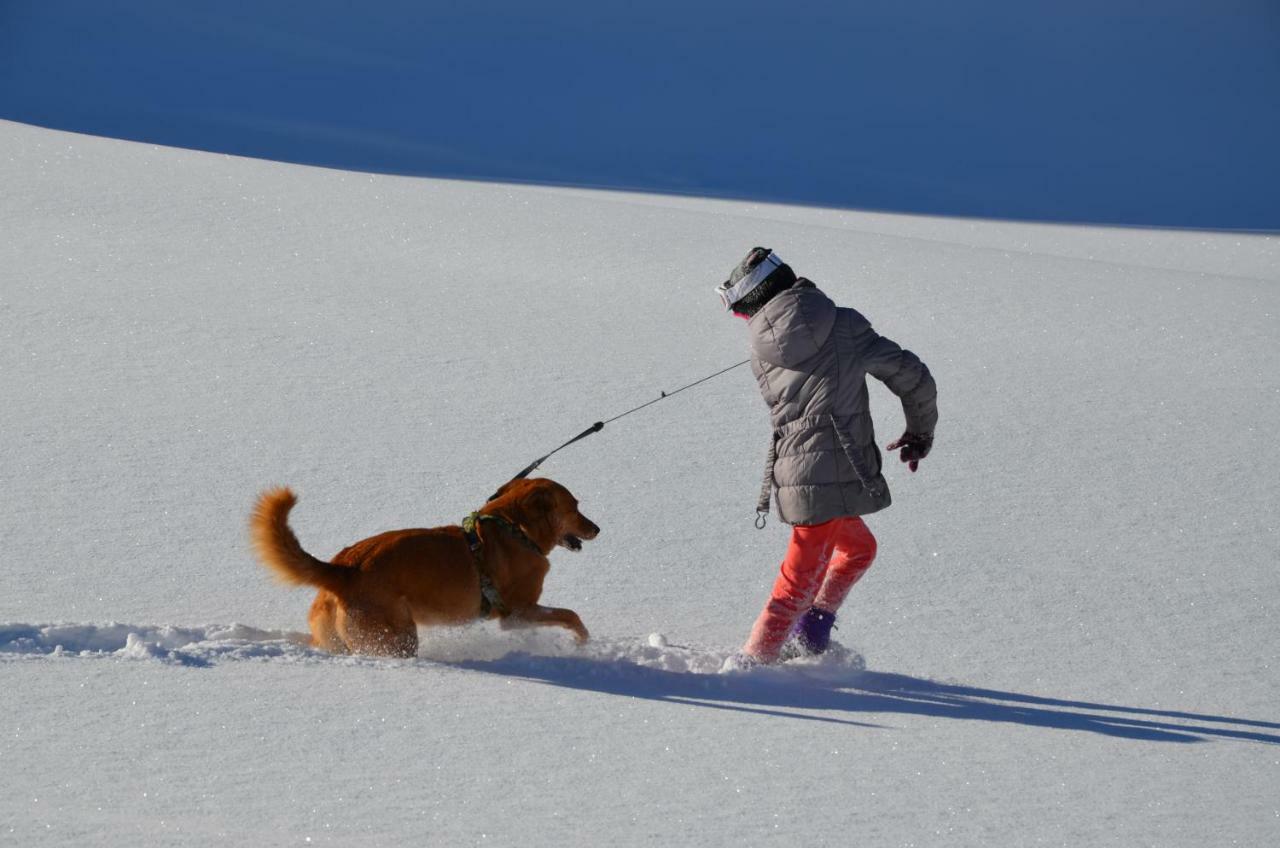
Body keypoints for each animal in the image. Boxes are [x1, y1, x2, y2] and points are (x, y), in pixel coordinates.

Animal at [249, 479, 599, 655]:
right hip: (398, 638)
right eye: (575, 507)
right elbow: (571, 616)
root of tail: (343, 570)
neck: (515, 528)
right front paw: (583, 643)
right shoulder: (517, 614)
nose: (597, 529)